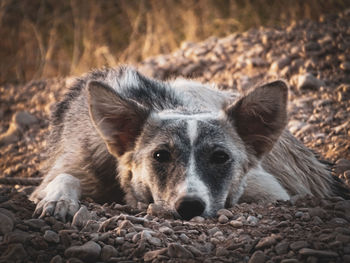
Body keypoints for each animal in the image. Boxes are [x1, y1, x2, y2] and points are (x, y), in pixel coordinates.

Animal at [29, 65, 348, 221]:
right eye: (160, 156)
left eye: (220, 157)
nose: (190, 206)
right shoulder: (71, 167)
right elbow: (64, 177)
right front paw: (58, 200)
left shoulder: (270, 190)